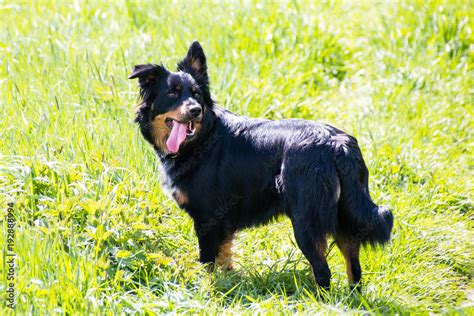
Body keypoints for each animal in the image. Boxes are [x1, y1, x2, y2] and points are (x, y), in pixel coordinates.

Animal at [130, 42, 392, 292]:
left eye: (196, 94)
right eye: (172, 93)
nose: (195, 110)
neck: (202, 139)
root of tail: (336, 143)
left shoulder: (207, 218)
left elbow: (207, 262)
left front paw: (207, 289)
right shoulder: (222, 221)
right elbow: (225, 257)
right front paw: (226, 283)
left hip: (306, 221)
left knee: (323, 272)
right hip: (345, 217)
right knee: (354, 268)